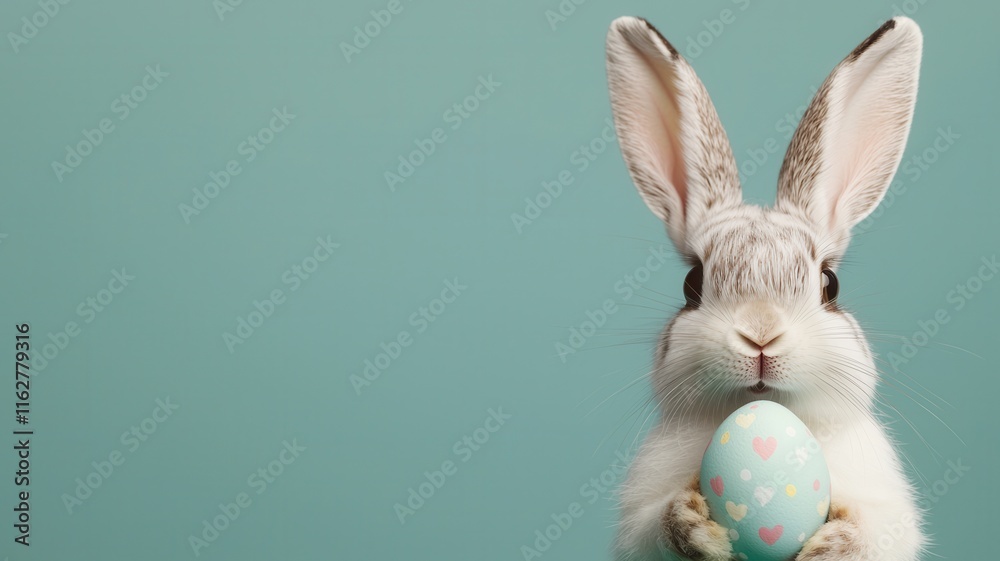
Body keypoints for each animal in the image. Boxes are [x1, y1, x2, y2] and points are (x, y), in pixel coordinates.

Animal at [604, 15, 925, 561]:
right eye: (692, 283)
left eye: (829, 283)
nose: (760, 335)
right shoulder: (637, 522)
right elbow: (655, 525)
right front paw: (691, 524)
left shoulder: (891, 514)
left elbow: (874, 529)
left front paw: (835, 542)